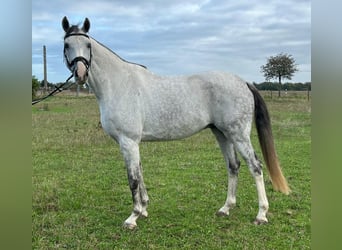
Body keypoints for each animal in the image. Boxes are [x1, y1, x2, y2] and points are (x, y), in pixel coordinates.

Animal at [62, 16, 290, 229]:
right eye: (66, 45)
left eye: (88, 45)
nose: (80, 74)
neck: (119, 84)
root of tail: (243, 82)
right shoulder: (133, 143)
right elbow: (140, 173)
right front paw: (144, 210)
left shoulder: (128, 141)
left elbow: (133, 180)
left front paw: (133, 217)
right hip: (222, 133)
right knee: (233, 166)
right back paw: (225, 208)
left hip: (238, 134)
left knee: (255, 166)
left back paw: (261, 214)